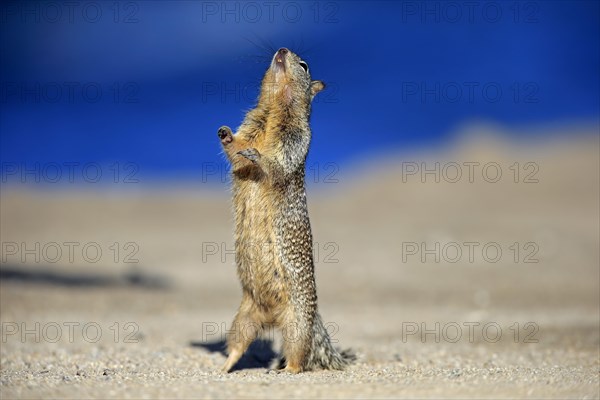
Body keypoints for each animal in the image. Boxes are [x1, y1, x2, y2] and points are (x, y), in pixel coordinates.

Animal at [218, 48, 354, 374]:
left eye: (304, 65)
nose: (281, 50)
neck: (274, 110)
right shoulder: (251, 126)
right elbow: (237, 153)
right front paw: (226, 134)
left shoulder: (294, 140)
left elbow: (276, 164)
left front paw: (259, 157)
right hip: (244, 316)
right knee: (238, 343)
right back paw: (223, 368)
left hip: (297, 324)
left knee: (299, 357)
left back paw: (284, 370)